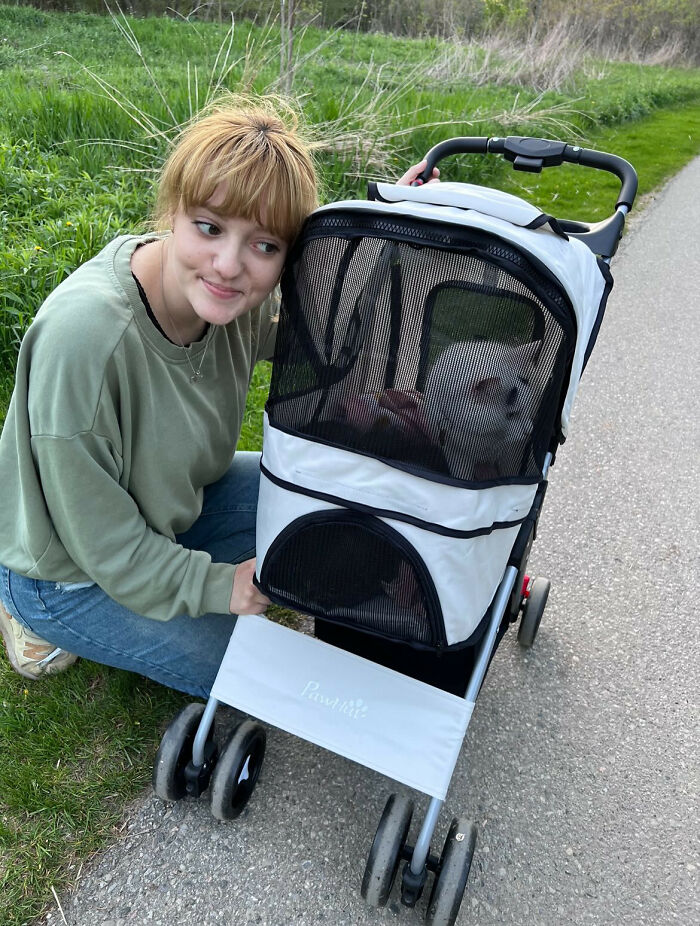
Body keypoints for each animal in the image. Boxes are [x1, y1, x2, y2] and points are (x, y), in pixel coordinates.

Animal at [422, 342, 540, 486]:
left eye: (527, 407)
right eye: (510, 415)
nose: (529, 431)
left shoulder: (513, 453)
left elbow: (512, 474)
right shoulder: (455, 453)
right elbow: (462, 477)